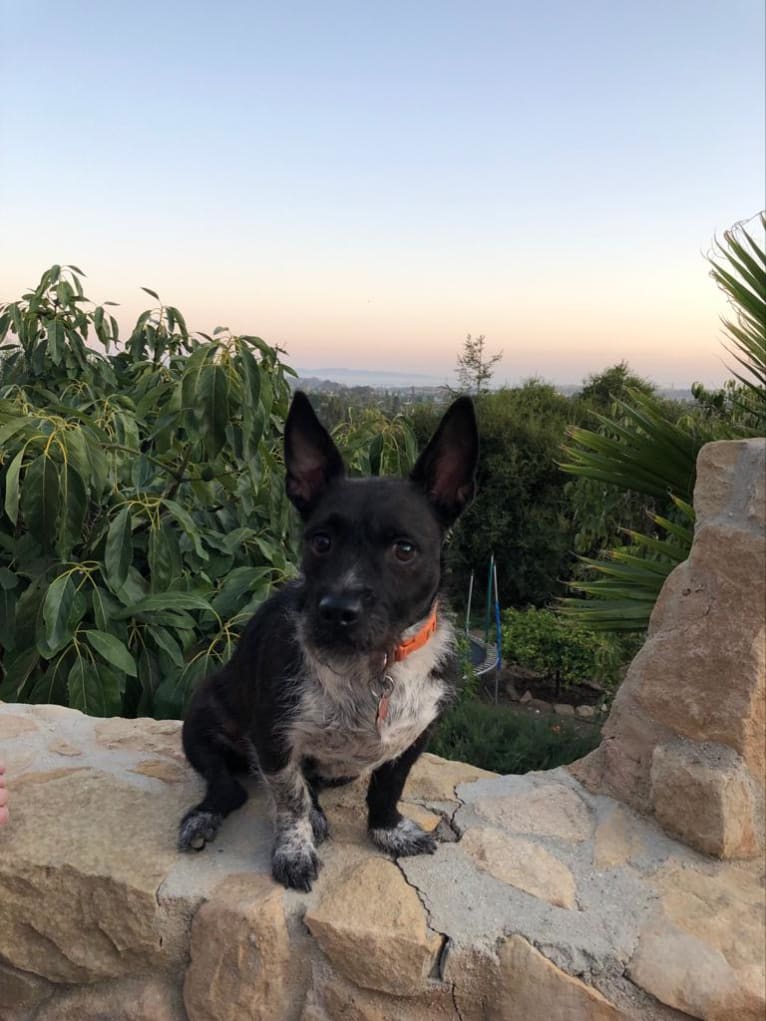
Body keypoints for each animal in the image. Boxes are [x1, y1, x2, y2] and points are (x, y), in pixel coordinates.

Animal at [180, 394, 480, 890]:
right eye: (320, 541)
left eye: (404, 549)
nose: (337, 610)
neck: (371, 668)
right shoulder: (274, 741)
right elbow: (291, 800)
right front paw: (295, 850)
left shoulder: (415, 735)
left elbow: (387, 788)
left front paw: (389, 830)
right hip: (200, 723)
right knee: (229, 788)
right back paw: (208, 817)